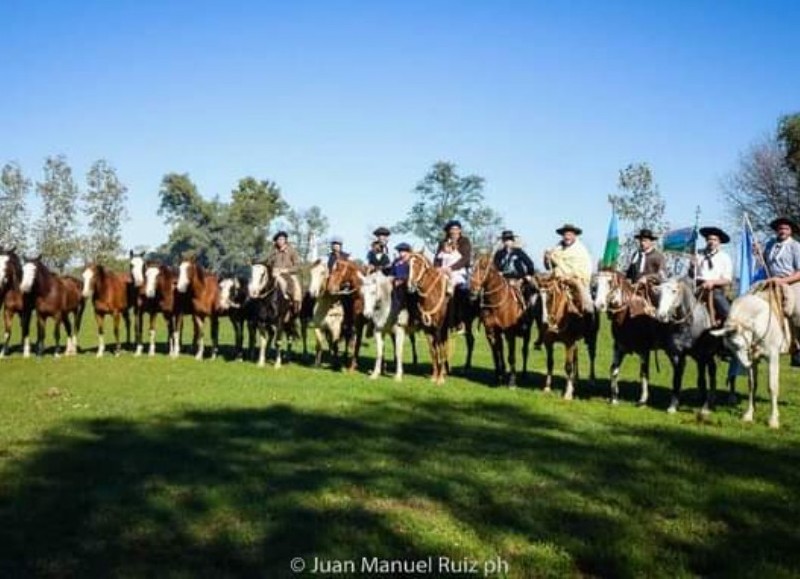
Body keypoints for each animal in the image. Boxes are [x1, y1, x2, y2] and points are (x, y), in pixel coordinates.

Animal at [406, 253, 450, 386]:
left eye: (419, 264)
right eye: (408, 265)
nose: (410, 285)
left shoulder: (438, 329)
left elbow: (439, 350)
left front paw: (440, 379)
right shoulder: (427, 330)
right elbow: (432, 351)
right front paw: (434, 376)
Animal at [468, 253, 532, 386]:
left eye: (483, 267)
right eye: (471, 267)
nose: (472, 291)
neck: (496, 303)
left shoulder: (510, 334)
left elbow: (511, 356)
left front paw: (512, 381)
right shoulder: (491, 332)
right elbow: (496, 355)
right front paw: (498, 377)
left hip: (527, 333)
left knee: (525, 351)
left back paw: (523, 374)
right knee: (501, 351)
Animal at [536, 274, 596, 402]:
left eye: (550, 295)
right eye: (538, 297)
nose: (544, 323)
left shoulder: (569, 343)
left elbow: (568, 366)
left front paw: (568, 393)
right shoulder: (549, 342)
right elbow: (550, 363)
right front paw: (547, 387)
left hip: (592, 337)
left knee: (592, 355)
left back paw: (591, 380)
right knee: (576, 356)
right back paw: (576, 379)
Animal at [656, 278, 724, 414]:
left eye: (674, 291)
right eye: (659, 291)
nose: (661, 315)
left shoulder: (703, 355)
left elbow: (704, 378)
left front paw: (705, 406)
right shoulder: (677, 354)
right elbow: (677, 378)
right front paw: (673, 405)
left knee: (712, 373)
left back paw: (709, 403)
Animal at [708, 284, 792, 428]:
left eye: (737, 344)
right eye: (729, 348)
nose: (746, 364)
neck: (760, 320)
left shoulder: (773, 356)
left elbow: (772, 386)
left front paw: (773, 420)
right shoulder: (754, 359)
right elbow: (752, 385)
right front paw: (749, 415)